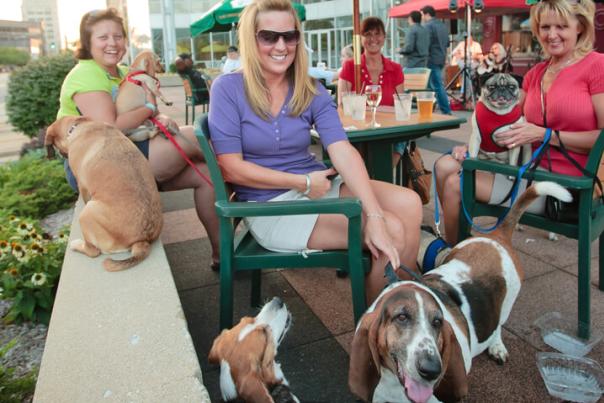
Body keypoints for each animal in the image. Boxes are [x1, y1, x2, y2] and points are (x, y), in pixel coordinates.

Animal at [45, 117, 163, 274]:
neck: (79, 124)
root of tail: (142, 240)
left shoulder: (82, 185)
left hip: (86, 214)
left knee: (93, 251)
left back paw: (77, 245)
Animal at [350, 184, 572, 403]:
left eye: (438, 322)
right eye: (401, 317)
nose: (433, 370)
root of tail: (496, 236)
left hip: (507, 303)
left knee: (498, 325)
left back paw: (497, 347)